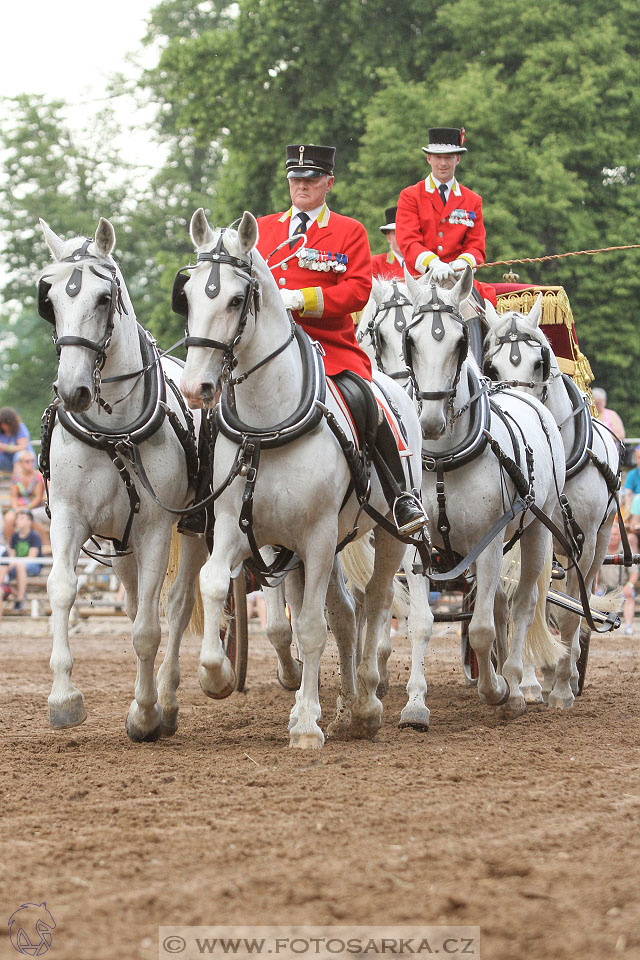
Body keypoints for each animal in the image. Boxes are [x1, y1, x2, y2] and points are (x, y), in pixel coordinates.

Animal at [38, 218, 208, 744]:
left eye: (103, 298)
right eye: (50, 299)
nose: (73, 390)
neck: (114, 432)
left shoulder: (155, 529)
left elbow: (150, 628)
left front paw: (145, 713)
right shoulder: (69, 517)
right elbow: (62, 590)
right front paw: (64, 698)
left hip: (191, 530)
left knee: (174, 606)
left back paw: (166, 700)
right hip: (120, 541)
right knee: (136, 603)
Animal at [178, 208, 432, 752]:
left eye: (236, 299)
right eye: (186, 296)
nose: (195, 387)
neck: (265, 424)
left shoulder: (315, 536)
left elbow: (314, 627)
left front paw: (306, 725)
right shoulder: (242, 530)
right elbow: (216, 584)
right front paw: (216, 674)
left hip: (388, 536)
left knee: (375, 603)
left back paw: (369, 700)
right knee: (346, 612)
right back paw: (349, 707)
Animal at [400, 266, 564, 716]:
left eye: (460, 343)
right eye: (409, 340)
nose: (430, 421)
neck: (442, 459)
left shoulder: (487, 543)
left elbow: (482, 629)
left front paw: (497, 690)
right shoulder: (415, 544)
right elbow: (421, 623)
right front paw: (415, 703)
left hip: (538, 531)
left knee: (522, 604)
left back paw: (520, 685)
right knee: (500, 605)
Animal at [484, 296, 620, 708]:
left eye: (539, 361)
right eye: (490, 366)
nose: (523, 420)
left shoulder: (585, 542)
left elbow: (573, 614)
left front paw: (561, 689)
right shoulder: (521, 537)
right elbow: (523, 603)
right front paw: (528, 682)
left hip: (598, 543)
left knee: (578, 602)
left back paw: (569, 671)